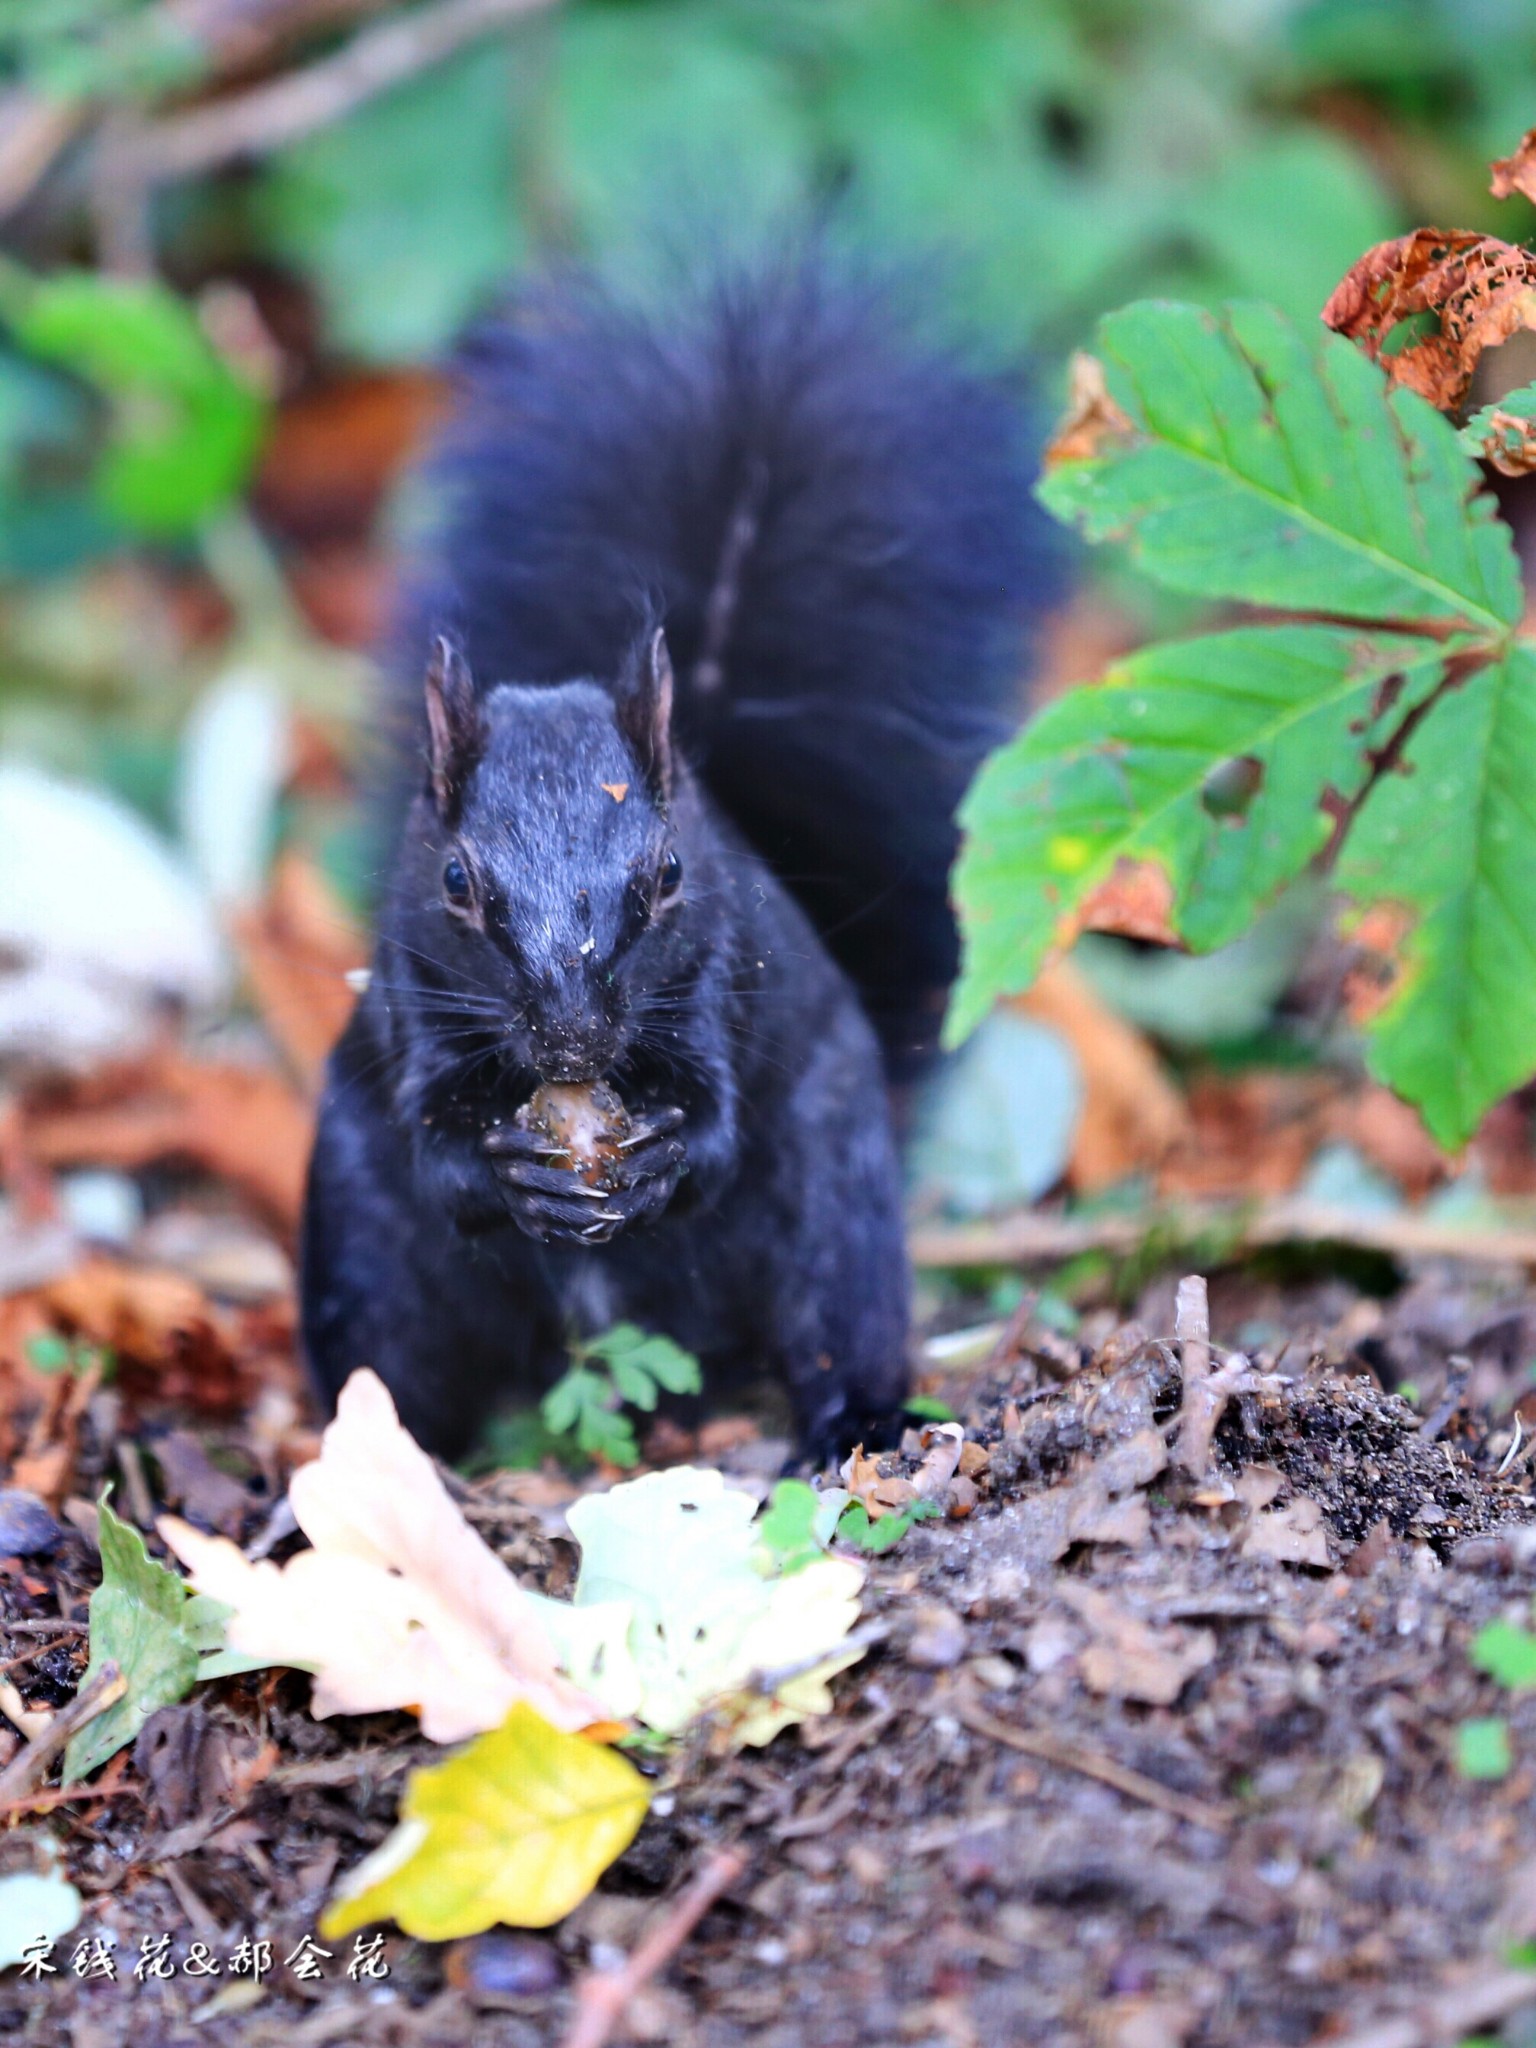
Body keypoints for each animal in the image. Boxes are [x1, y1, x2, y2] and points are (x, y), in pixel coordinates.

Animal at [299, 256, 1056, 1466]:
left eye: (665, 880)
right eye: (459, 883)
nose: (572, 1038)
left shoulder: (720, 981)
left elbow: (718, 1131)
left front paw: (661, 1157)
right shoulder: (413, 1001)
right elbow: (434, 1147)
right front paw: (505, 1170)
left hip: (832, 1204)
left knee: (835, 1318)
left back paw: (858, 1419)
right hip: (363, 1248)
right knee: (392, 1368)